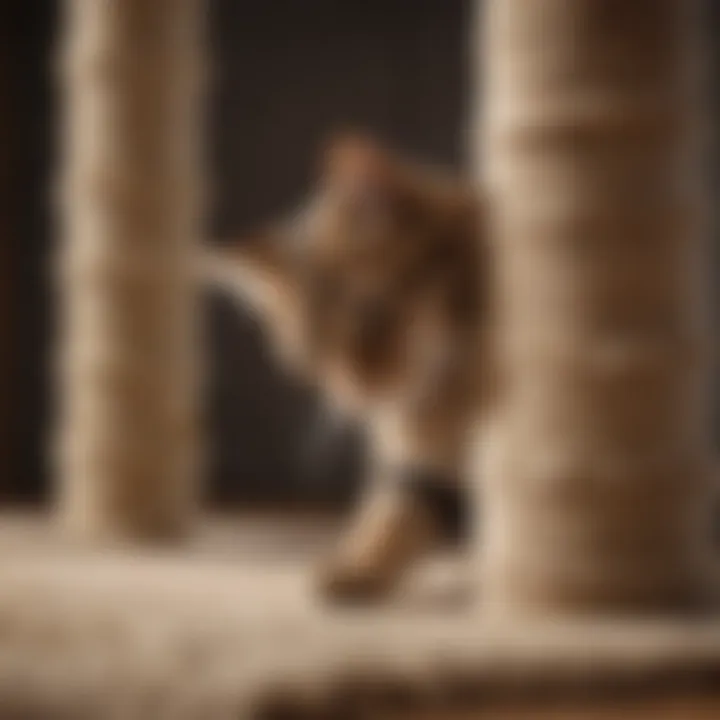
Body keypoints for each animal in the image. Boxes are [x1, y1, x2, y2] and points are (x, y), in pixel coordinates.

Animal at [207, 135, 490, 600]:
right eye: (311, 354)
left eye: (369, 311)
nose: (358, 392)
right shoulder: (422, 467)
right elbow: (395, 515)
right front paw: (358, 567)